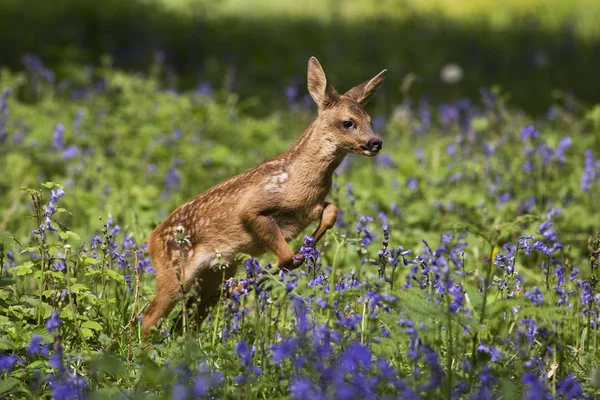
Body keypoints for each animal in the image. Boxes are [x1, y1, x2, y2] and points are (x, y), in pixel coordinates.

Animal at [141, 56, 386, 336]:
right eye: (348, 122)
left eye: (370, 120)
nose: (376, 142)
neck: (299, 180)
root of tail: (151, 238)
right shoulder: (253, 206)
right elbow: (286, 255)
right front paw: (272, 270)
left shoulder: (312, 207)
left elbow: (332, 211)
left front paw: (306, 249)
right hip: (174, 269)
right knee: (149, 316)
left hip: (213, 273)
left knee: (185, 319)